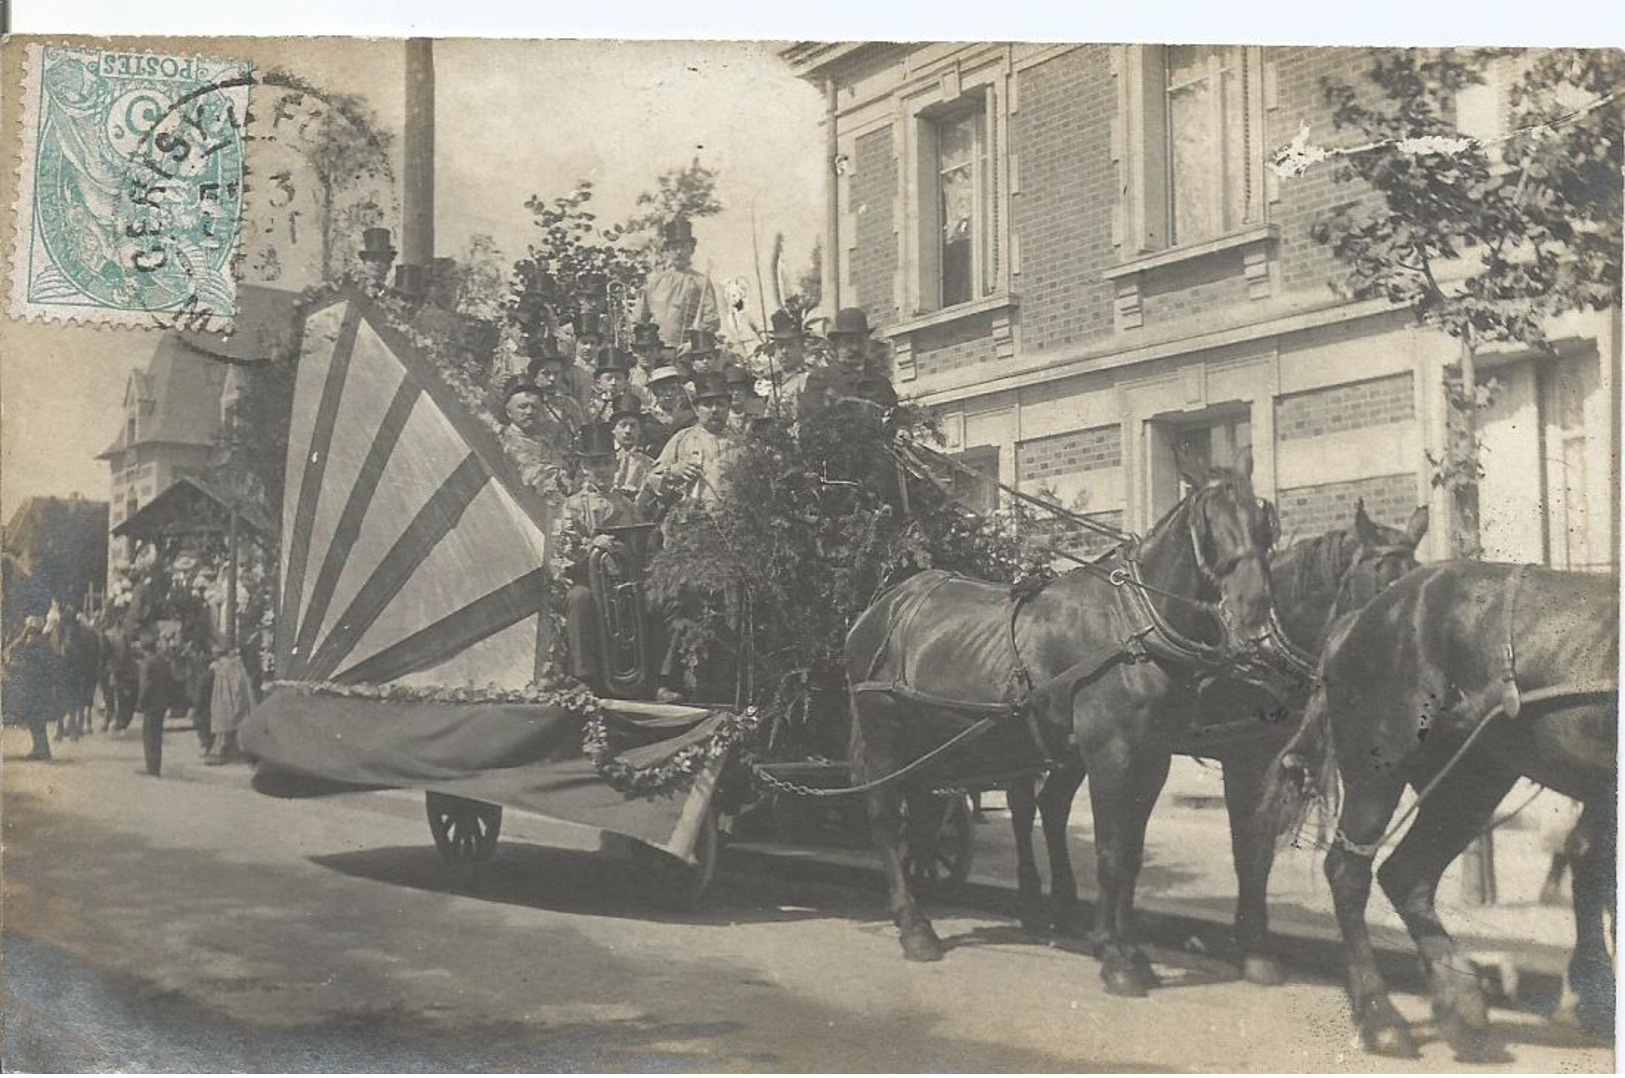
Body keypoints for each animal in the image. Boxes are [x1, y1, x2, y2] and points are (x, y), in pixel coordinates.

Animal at [845, 458, 1274, 995]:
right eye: (1211, 521)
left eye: (1264, 520)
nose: (1253, 604)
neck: (1133, 627)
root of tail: (878, 609)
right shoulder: (1109, 752)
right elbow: (1112, 852)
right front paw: (1116, 959)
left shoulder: (1152, 756)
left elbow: (1132, 854)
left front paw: (1128, 950)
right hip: (884, 732)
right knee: (885, 816)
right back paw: (913, 926)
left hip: (935, 741)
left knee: (925, 811)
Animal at [1007, 500, 1430, 982]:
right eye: (1383, 586)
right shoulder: (1242, 760)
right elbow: (1246, 847)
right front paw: (1251, 945)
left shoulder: (1267, 757)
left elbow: (1258, 852)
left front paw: (1254, 945)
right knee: (1023, 805)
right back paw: (1032, 901)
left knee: (1053, 806)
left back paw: (1064, 905)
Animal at [1267, 565, 1612, 1060]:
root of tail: (1359, 618)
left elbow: (1593, 868)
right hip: (1381, 769)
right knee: (1349, 873)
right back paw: (1382, 1018)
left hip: (1469, 781)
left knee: (1407, 874)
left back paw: (1459, 1006)